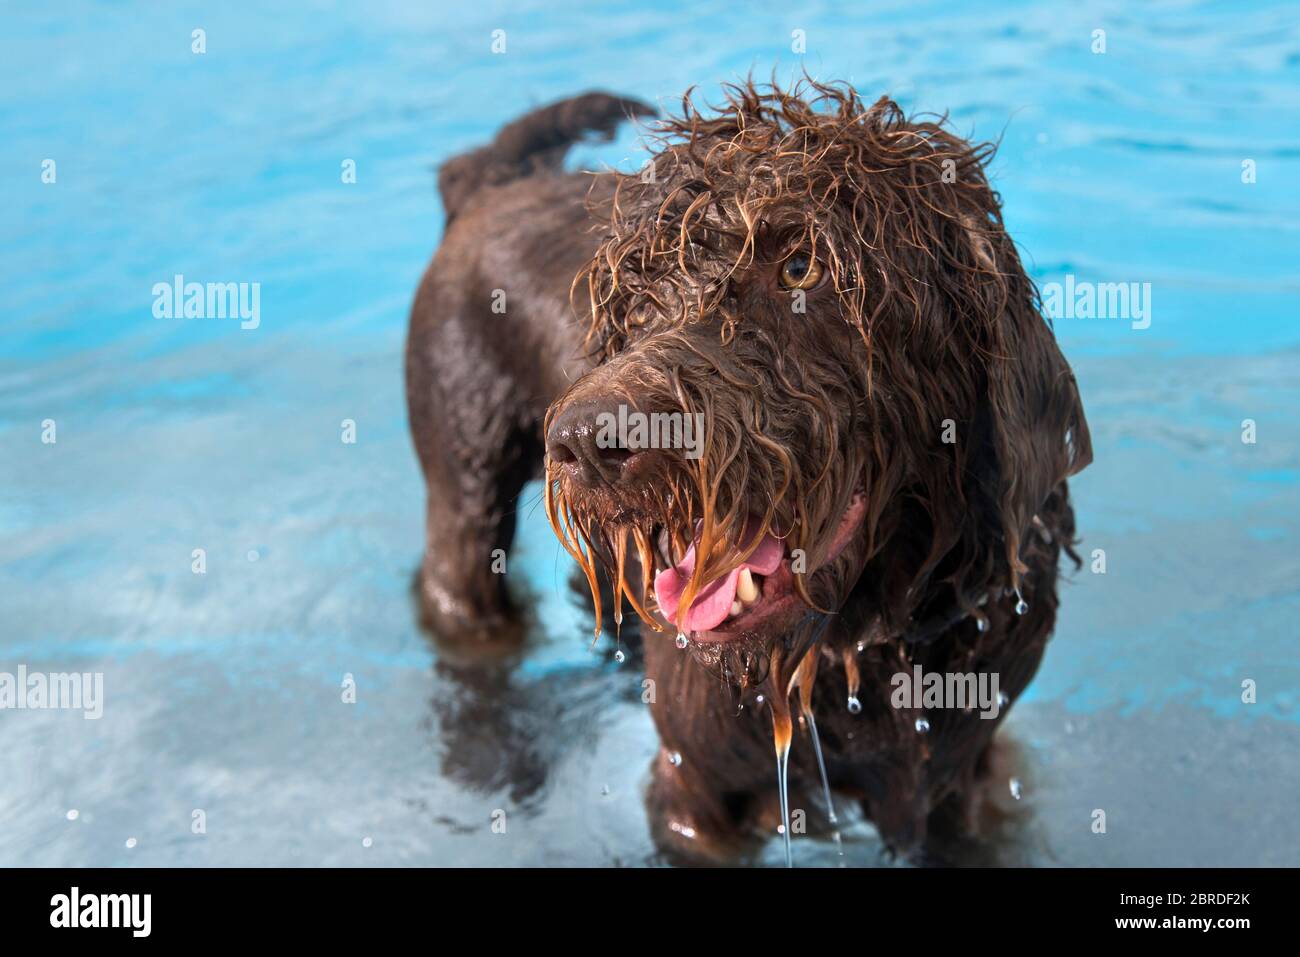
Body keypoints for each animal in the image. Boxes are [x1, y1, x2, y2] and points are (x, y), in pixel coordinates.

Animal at [403, 80, 1086, 858]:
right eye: (637, 287)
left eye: (801, 266)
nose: (583, 441)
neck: (865, 647)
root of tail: (491, 185)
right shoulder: (694, 791)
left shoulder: (962, 778)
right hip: (465, 483)